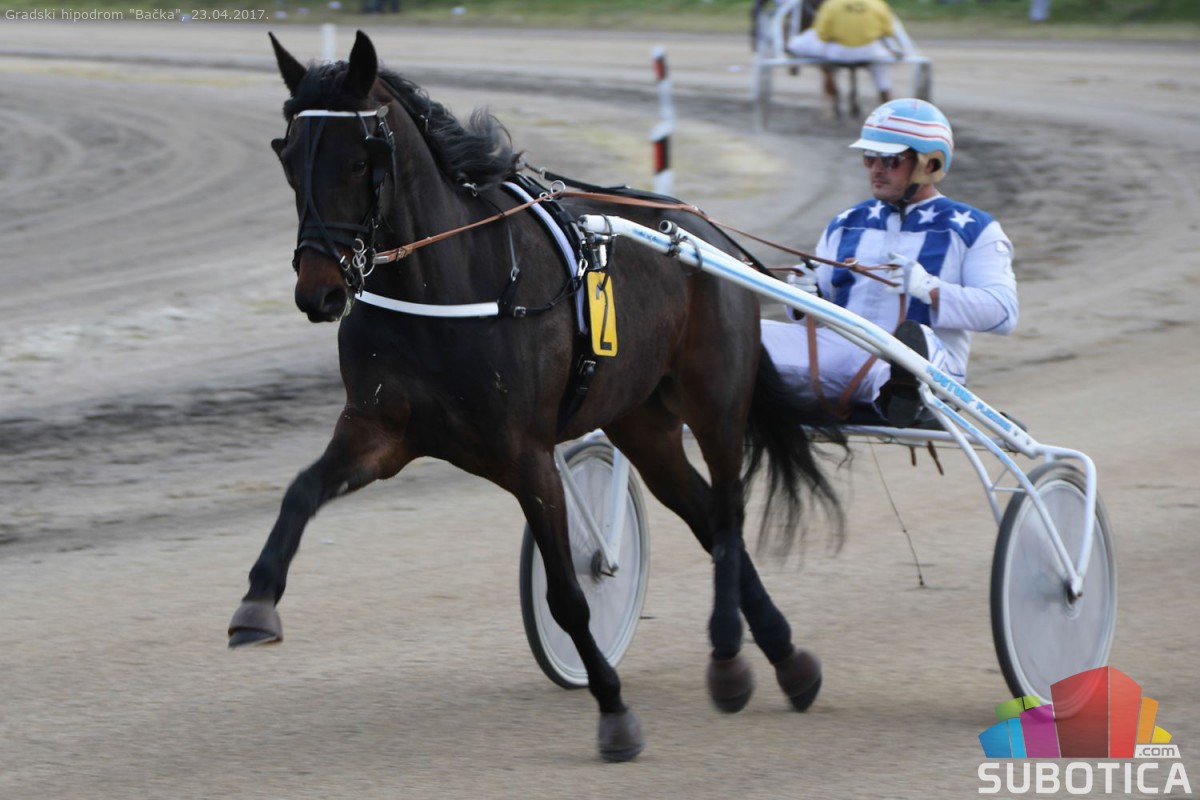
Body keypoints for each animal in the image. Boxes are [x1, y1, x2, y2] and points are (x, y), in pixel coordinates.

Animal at [228, 29, 844, 762]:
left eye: (358, 160)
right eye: (289, 156)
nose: (318, 292)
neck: (446, 287)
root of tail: (711, 238)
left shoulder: (528, 456)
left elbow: (569, 595)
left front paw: (613, 710)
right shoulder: (379, 431)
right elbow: (301, 491)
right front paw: (256, 603)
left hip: (716, 399)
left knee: (726, 514)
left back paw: (731, 658)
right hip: (643, 421)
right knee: (701, 512)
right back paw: (787, 660)